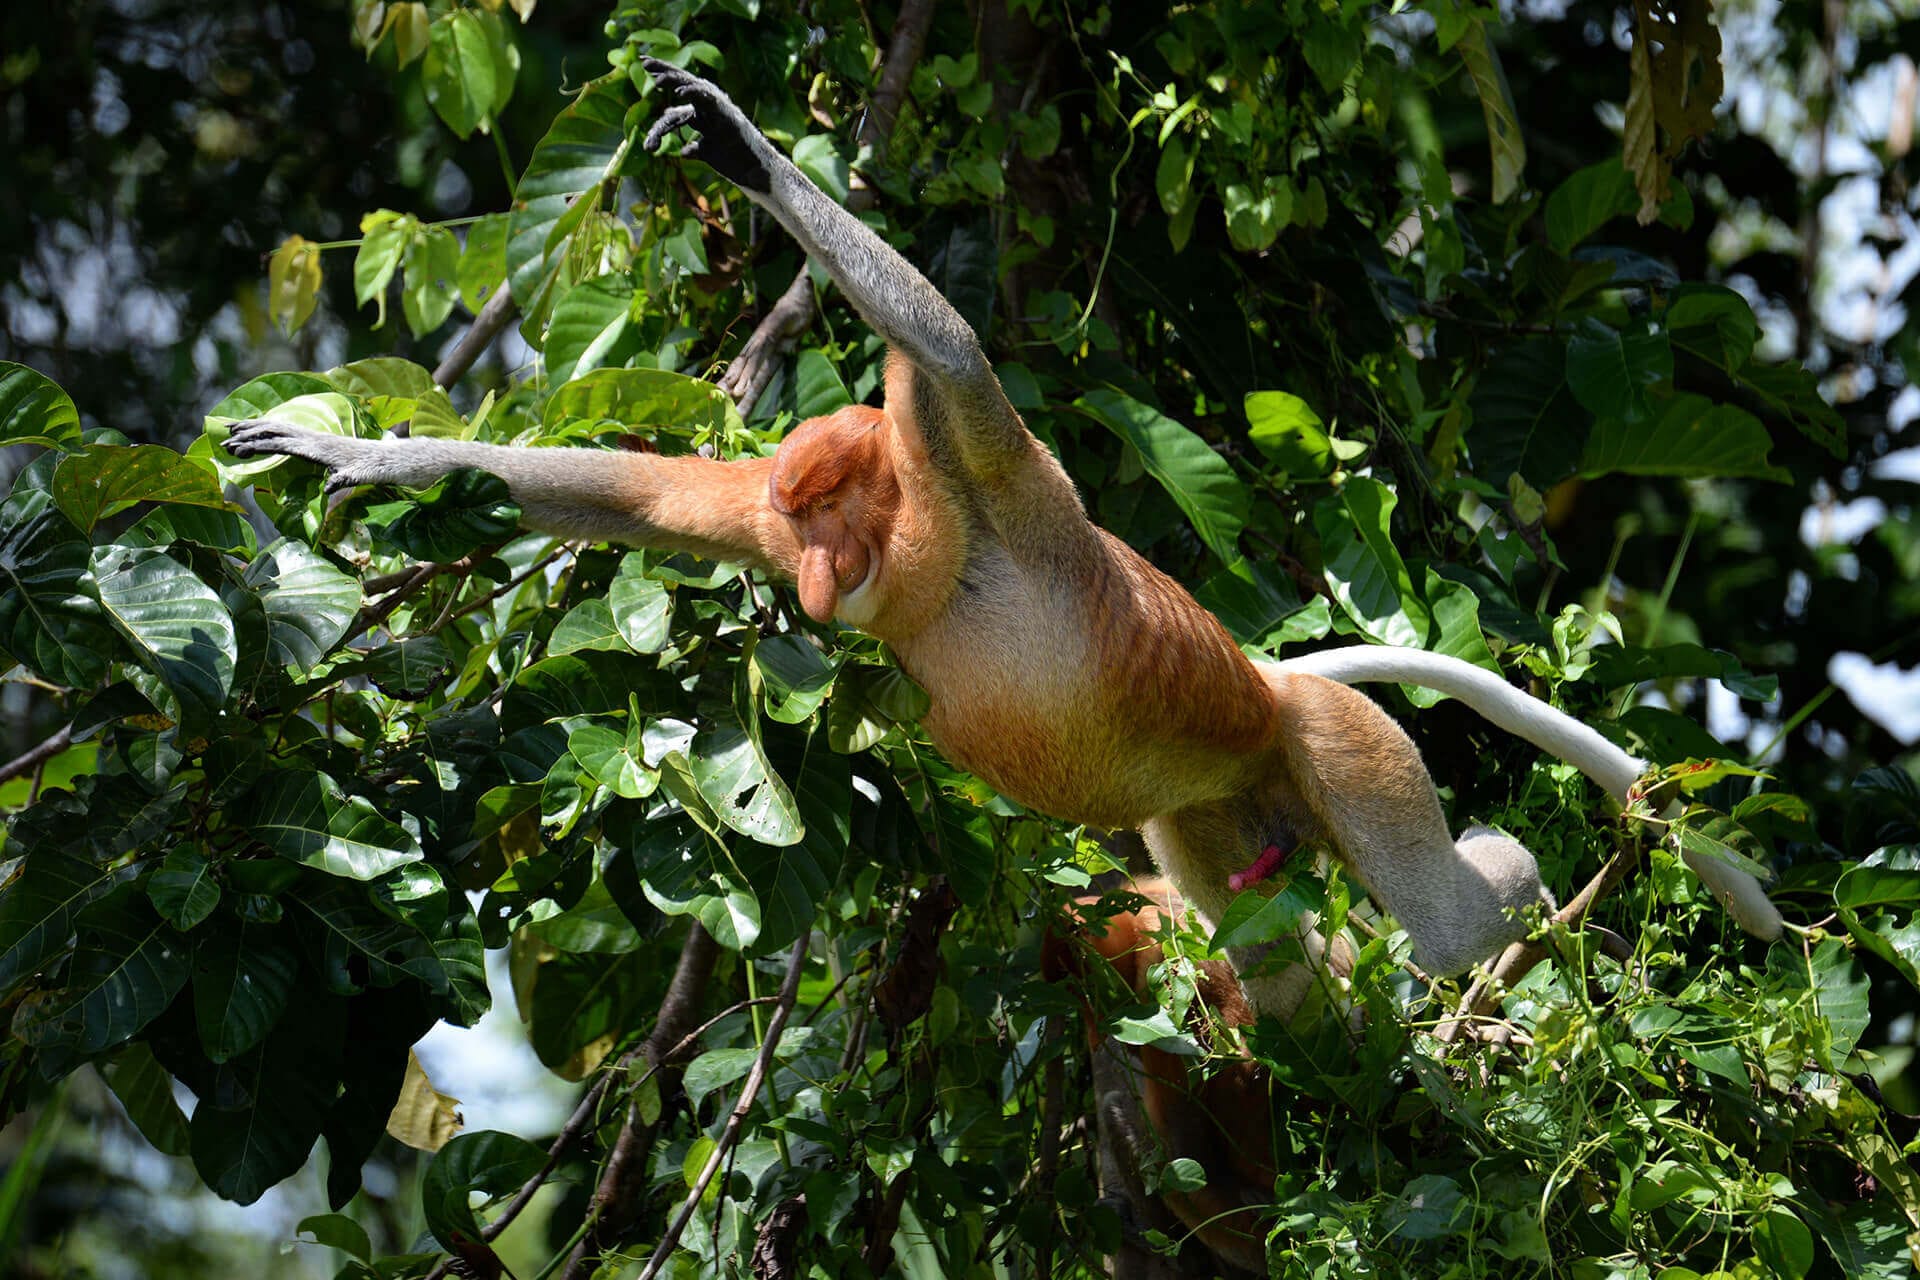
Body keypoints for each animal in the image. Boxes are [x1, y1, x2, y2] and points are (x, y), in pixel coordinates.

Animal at [223, 62, 1782, 1015]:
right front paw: (346, 452)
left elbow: (953, 346)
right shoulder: (763, 499)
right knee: (1267, 939)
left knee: (1450, 906)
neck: (937, 561)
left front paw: (740, 147)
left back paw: (1520, 932)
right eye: (794, 524)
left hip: (1342, 748)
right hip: (1219, 812)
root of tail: (1272, 679)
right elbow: (639, 494)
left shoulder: (990, 472)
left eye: (840, 519)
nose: (812, 584)